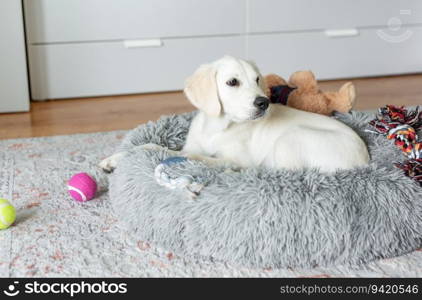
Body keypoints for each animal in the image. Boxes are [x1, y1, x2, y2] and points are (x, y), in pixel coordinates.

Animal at [101, 56, 370, 173]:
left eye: (257, 79)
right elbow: (151, 146)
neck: (218, 127)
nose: (264, 103)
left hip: (292, 138)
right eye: (232, 82)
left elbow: (191, 157)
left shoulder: (233, 159)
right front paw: (114, 159)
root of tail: (364, 162)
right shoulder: (191, 146)